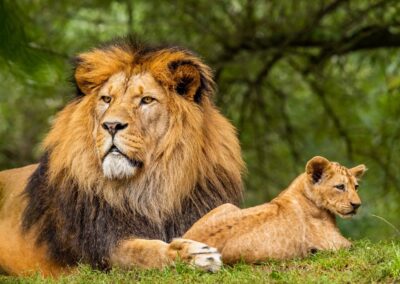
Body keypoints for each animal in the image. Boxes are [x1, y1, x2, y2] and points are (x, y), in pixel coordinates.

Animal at [0, 38, 244, 276]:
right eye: (107, 99)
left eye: (146, 100)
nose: (111, 125)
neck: (150, 188)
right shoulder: (101, 249)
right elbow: (142, 251)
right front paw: (192, 255)